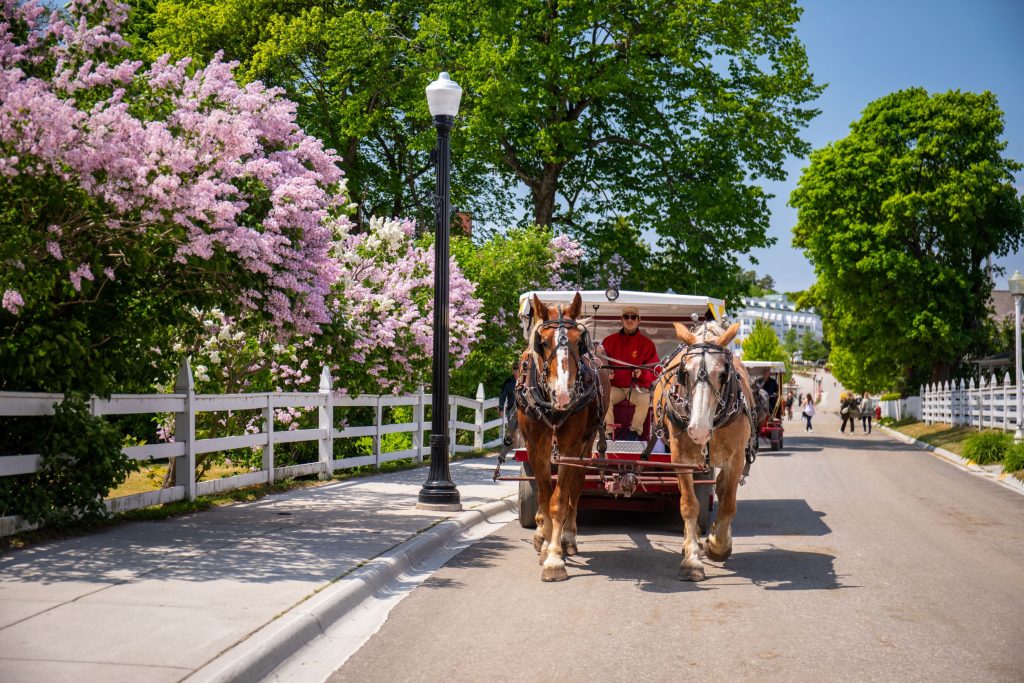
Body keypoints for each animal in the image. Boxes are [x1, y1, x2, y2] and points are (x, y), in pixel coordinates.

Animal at [651, 321, 757, 581]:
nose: (698, 429)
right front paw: (692, 560)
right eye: (685, 372)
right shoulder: (680, 458)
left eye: (722, 374)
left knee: (721, 488)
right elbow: (689, 504)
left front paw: (718, 545)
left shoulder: (736, 459)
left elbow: (728, 504)